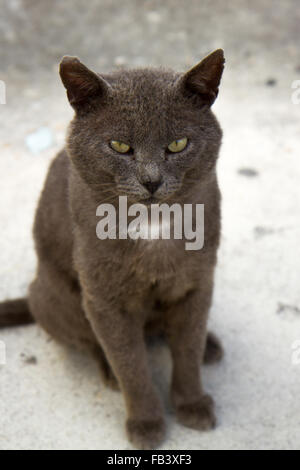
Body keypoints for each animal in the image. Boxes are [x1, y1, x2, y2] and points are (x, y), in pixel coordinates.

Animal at [0, 49, 225, 450]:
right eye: (119, 146)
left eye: (178, 144)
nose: (151, 180)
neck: (154, 227)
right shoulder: (104, 299)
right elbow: (130, 363)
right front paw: (147, 424)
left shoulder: (197, 282)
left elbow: (186, 347)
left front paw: (193, 405)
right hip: (52, 297)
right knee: (91, 342)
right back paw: (107, 372)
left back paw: (209, 347)